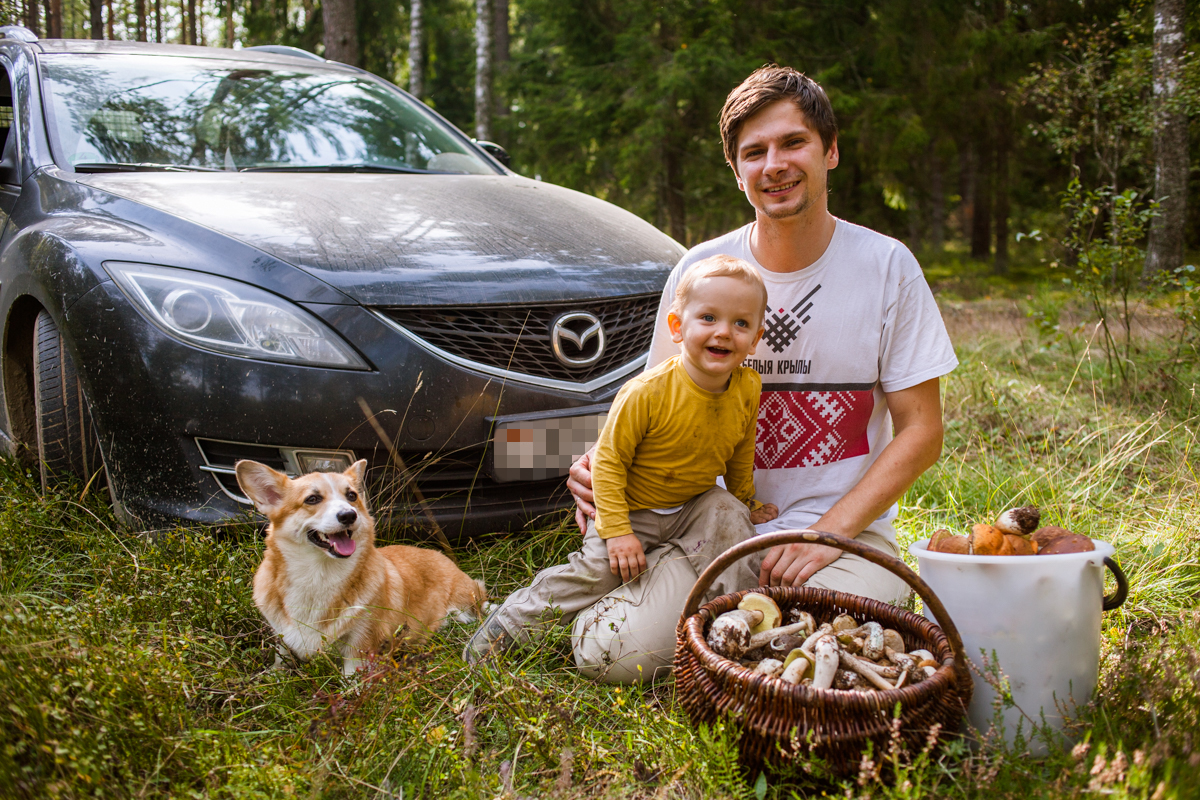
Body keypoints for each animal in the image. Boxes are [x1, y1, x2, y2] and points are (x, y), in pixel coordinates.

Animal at [236, 455, 484, 676]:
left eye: (351, 495)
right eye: (312, 499)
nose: (349, 515)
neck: (319, 574)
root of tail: (446, 558)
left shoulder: (360, 644)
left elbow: (351, 681)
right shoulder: (283, 635)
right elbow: (281, 658)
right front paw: (271, 675)